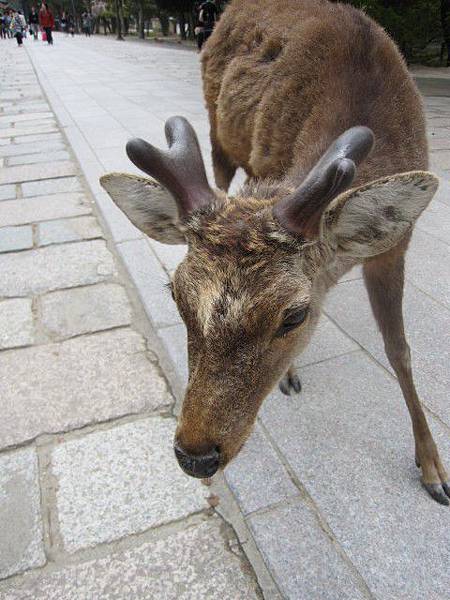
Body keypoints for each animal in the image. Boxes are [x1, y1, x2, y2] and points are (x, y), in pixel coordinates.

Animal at [100, 0, 448, 506]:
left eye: (294, 316)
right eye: (177, 296)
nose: (194, 455)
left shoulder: (396, 244)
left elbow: (399, 349)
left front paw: (434, 469)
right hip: (220, 133)